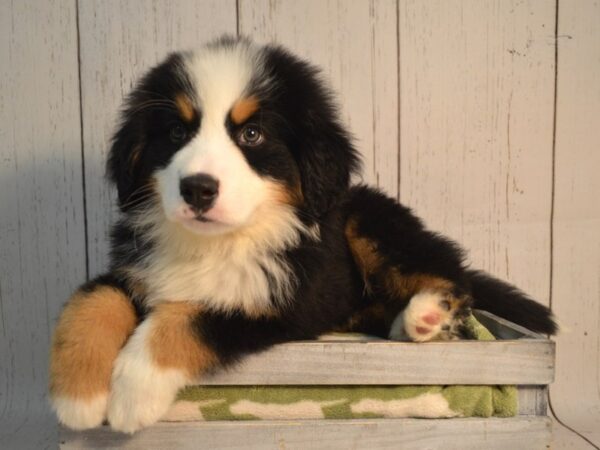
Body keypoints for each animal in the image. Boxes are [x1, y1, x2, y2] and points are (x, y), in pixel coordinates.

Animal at [48, 37, 556, 432]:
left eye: (251, 134)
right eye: (176, 131)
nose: (197, 188)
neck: (219, 242)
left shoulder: (275, 300)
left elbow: (184, 318)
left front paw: (133, 393)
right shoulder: (135, 268)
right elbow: (93, 299)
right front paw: (79, 398)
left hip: (368, 222)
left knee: (450, 272)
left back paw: (429, 315)